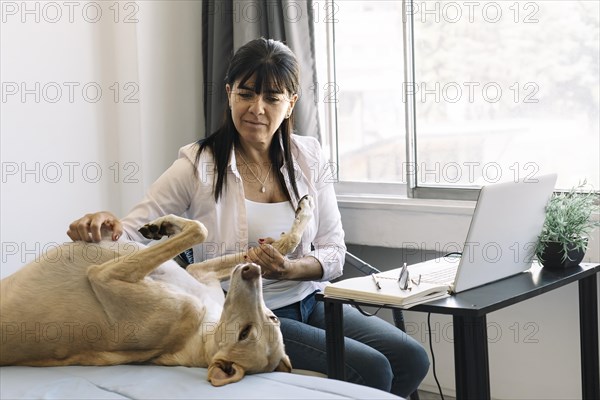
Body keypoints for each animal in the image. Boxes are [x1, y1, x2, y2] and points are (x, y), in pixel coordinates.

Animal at [0, 195, 316, 386]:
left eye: (245, 334)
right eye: (274, 318)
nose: (253, 272)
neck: (205, 326)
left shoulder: (105, 276)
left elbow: (198, 229)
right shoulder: (200, 272)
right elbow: (279, 245)